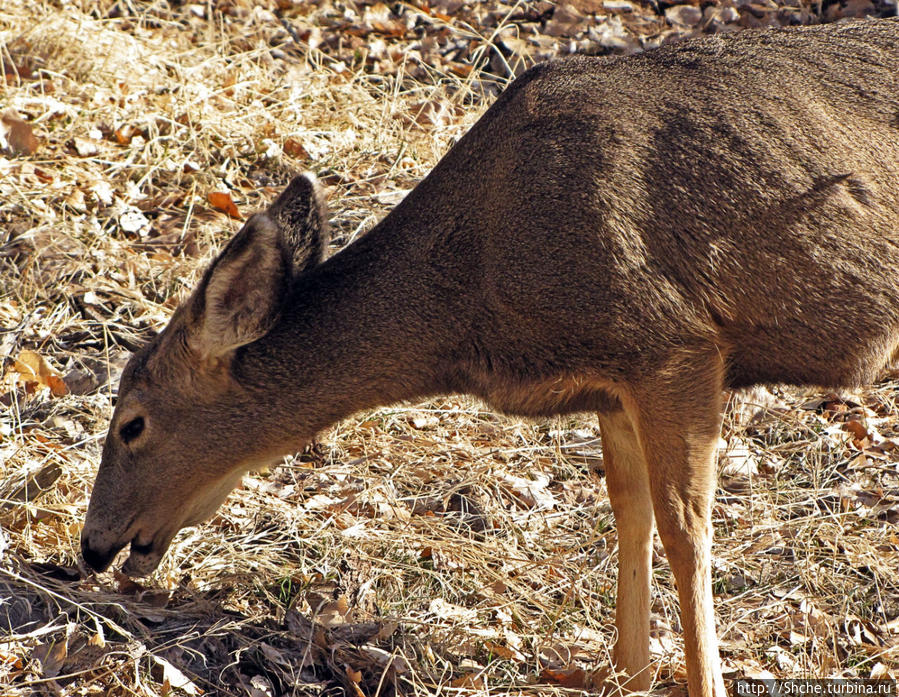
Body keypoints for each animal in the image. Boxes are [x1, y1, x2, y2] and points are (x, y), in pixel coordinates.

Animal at [82, 19, 899, 696]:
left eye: (133, 422)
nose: (92, 546)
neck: (475, 296)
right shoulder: (614, 379)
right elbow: (628, 511)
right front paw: (624, 673)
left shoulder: (673, 340)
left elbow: (684, 529)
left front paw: (699, 681)